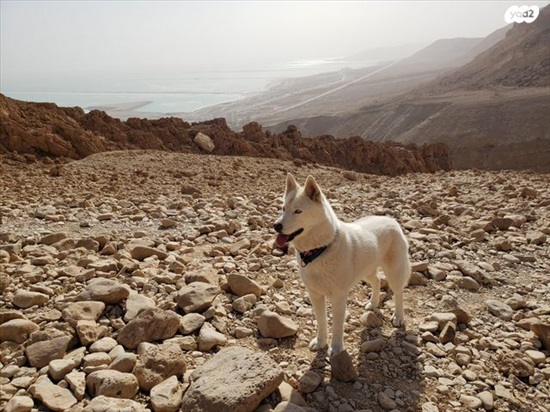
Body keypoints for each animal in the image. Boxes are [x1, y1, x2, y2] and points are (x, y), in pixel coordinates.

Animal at [274, 172, 412, 356]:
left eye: (298, 211)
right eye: (283, 208)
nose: (276, 226)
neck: (320, 250)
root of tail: (392, 220)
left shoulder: (339, 297)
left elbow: (337, 326)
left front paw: (336, 348)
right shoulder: (315, 295)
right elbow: (321, 321)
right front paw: (320, 342)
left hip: (394, 271)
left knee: (398, 293)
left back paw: (398, 317)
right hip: (366, 272)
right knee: (377, 281)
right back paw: (373, 303)